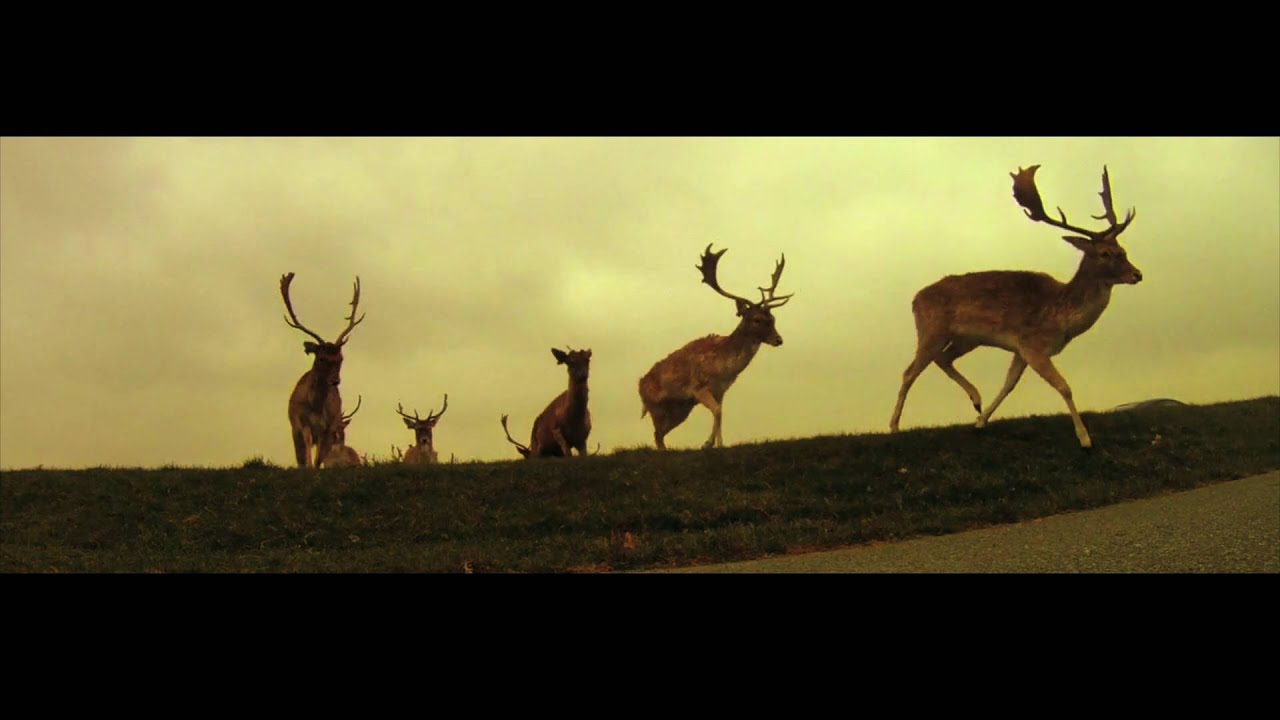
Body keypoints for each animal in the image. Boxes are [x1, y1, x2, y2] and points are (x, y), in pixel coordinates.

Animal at [281, 272, 365, 468]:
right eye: (321, 358)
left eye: (340, 358)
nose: (335, 381)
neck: (316, 407)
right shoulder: (301, 422)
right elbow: (307, 454)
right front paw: (309, 467)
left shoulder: (328, 428)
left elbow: (320, 458)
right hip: (293, 429)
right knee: (300, 456)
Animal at [638, 243, 793, 450]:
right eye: (757, 319)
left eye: (773, 318)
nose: (778, 339)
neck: (723, 369)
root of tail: (640, 386)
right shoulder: (699, 387)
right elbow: (718, 411)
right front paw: (708, 443)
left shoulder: (721, 391)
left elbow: (720, 414)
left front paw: (718, 444)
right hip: (657, 408)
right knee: (657, 434)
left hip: (681, 409)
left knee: (660, 434)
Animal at [889, 164, 1141, 449]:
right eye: (1105, 254)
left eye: (1123, 249)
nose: (1137, 274)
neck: (1061, 318)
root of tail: (915, 298)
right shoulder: (1032, 344)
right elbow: (1064, 386)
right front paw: (1085, 439)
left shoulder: (1020, 349)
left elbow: (1009, 384)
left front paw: (981, 422)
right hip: (931, 329)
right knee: (909, 372)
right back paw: (894, 425)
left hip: (967, 338)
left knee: (942, 358)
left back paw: (976, 399)